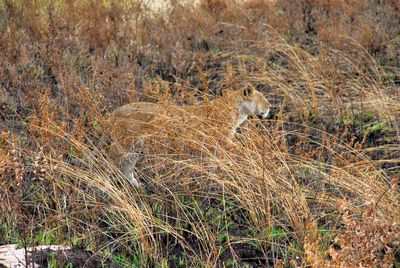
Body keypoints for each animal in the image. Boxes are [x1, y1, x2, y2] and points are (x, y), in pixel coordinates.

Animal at [106, 84, 270, 186]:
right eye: (262, 98)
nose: (270, 107)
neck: (237, 113)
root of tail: (116, 111)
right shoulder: (218, 144)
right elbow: (227, 159)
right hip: (124, 144)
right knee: (110, 159)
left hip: (134, 148)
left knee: (127, 167)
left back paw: (137, 186)